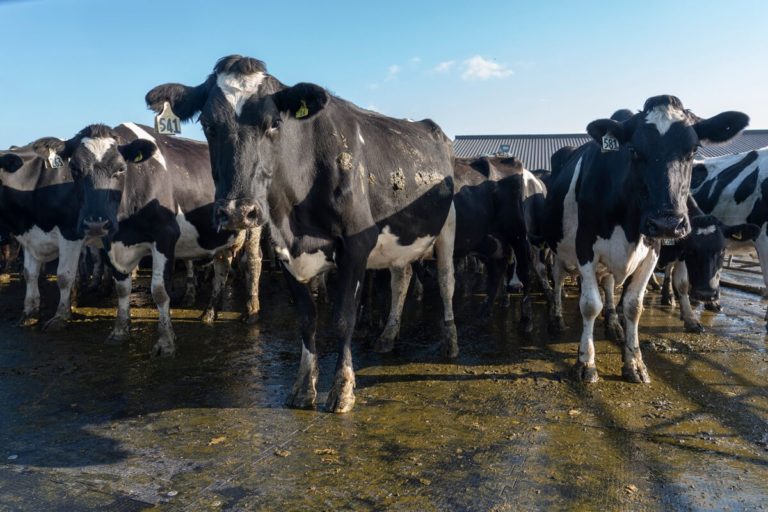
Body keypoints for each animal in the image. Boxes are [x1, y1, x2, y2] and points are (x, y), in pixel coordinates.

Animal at [0, 149, 85, 330]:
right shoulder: (30, 238)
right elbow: (29, 274)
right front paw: (29, 313)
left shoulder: (71, 234)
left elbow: (64, 276)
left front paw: (61, 316)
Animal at [29, 123, 262, 356]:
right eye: (75, 169)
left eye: (120, 169)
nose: (95, 224)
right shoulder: (113, 242)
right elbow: (122, 288)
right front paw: (119, 331)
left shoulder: (165, 236)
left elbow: (159, 291)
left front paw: (165, 341)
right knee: (222, 267)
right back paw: (209, 313)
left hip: (253, 221)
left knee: (253, 262)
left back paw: (251, 312)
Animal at [146, 55, 457, 413]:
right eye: (208, 125)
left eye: (273, 123)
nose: (238, 211)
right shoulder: (284, 250)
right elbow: (307, 319)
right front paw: (303, 388)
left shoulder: (356, 245)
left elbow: (343, 318)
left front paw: (342, 390)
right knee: (400, 280)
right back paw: (388, 336)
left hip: (448, 227)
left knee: (446, 282)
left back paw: (450, 342)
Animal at [543, 95, 748, 383]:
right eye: (635, 151)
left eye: (693, 150)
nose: (667, 223)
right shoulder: (585, 247)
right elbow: (590, 304)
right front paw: (586, 362)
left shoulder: (652, 249)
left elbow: (633, 305)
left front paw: (634, 362)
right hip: (558, 248)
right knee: (559, 278)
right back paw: (557, 318)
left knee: (608, 284)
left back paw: (613, 324)